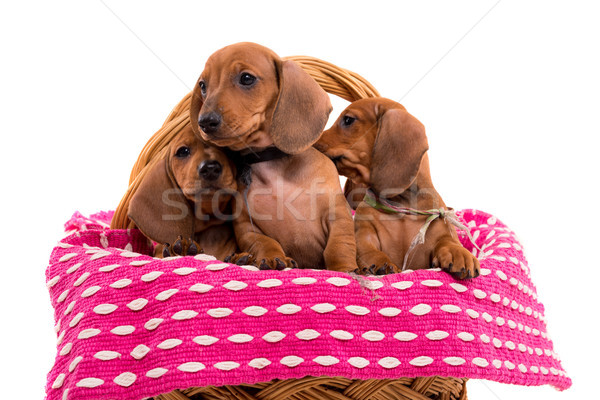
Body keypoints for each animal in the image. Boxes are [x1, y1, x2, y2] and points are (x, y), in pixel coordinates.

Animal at [190, 41, 356, 272]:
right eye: (203, 85)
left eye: (246, 78)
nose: (205, 122)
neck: (271, 164)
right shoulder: (247, 226)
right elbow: (265, 242)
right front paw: (272, 258)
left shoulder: (338, 214)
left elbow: (338, 246)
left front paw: (345, 269)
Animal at [316, 97, 480, 280]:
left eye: (348, 120)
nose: (312, 144)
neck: (402, 206)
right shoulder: (363, 233)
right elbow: (368, 250)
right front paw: (381, 263)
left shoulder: (441, 233)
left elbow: (448, 243)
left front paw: (460, 253)